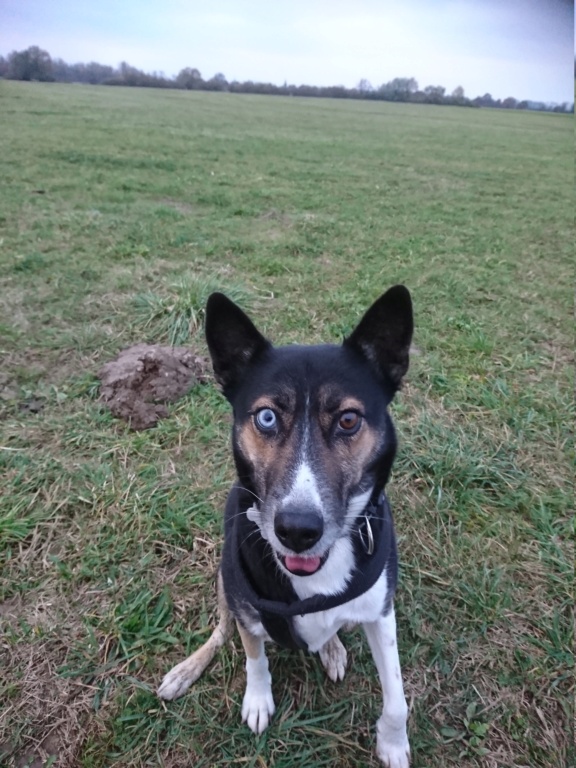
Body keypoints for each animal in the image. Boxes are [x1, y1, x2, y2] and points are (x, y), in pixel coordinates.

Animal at [158, 284, 412, 764]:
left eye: (348, 419)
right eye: (267, 417)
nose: (296, 530)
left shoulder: (380, 612)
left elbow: (397, 699)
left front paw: (393, 744)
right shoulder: (246, 609)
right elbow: (254, 656)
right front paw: (258, 700)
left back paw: (331, 647)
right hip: (224, 581)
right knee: (220, 632)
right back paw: (186, 670)